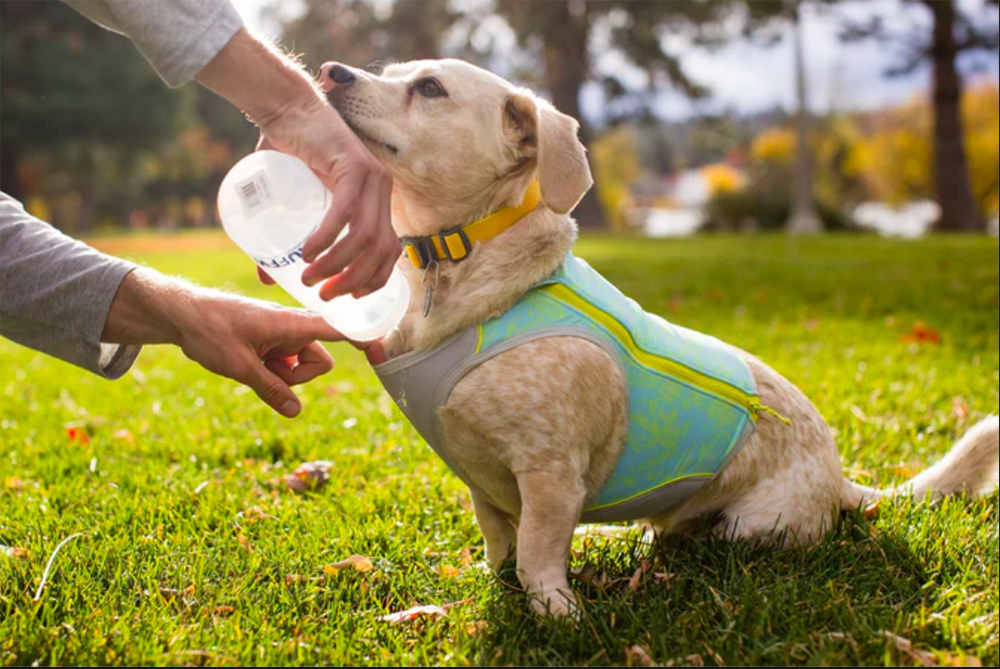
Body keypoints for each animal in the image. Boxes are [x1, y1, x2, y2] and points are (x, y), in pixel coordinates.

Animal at [320, 58, 1000, 616]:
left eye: (430, 88)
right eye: (390, 71)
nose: (329, 71)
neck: (454, 269)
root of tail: (840, 481)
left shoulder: (549, 474)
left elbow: (537, 556)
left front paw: (557, 614)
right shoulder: (482, 482)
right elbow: (500, 548)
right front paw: (502, 588)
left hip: (750, 528)